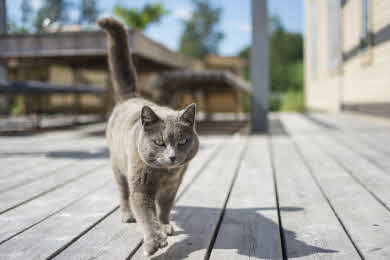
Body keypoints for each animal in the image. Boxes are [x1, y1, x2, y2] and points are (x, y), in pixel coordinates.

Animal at [99, 17, 200, 256]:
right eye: (159, 142)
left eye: (183, 141)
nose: (173, 157)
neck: (164, 174)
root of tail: (130, 97)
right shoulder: (141, 187)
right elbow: (145, 214)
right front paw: (154, 240)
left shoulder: (173, 185)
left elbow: (164, 207)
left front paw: (164, 225)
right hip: (118, 166)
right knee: (123, 193)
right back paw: (127, 215)